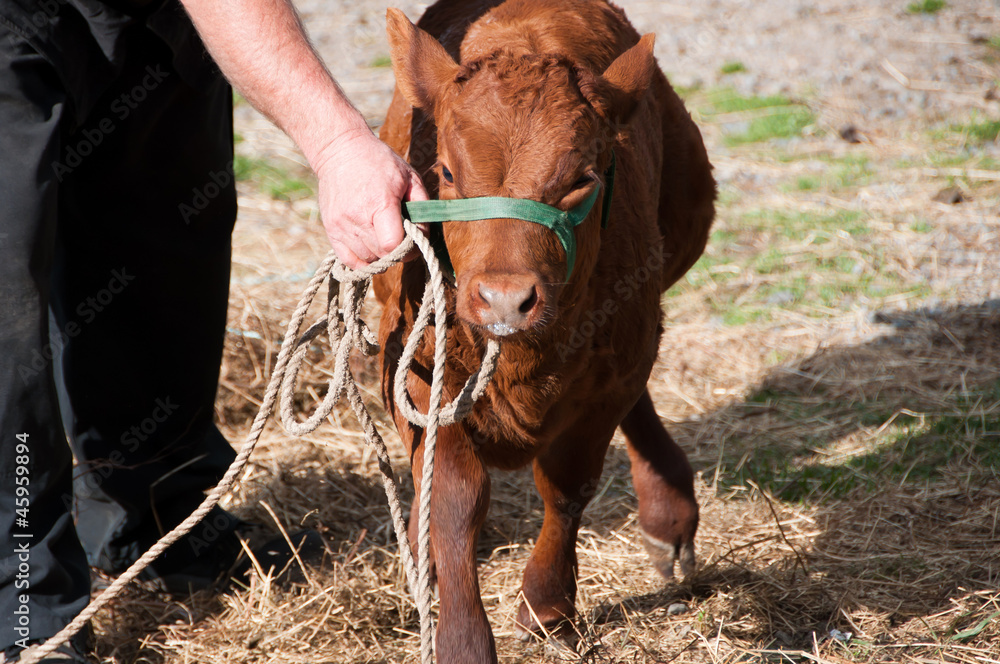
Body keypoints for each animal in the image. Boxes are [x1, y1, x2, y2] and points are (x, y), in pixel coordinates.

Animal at [372, 1, 715, 661]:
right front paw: (461, 638)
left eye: (584, 178)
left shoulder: (610, 373)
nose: (505, 299)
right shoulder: (418, 369)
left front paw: (547, 604)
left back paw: (667, 512)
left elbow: (567, 484)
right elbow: (453, 497)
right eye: (446, 170)